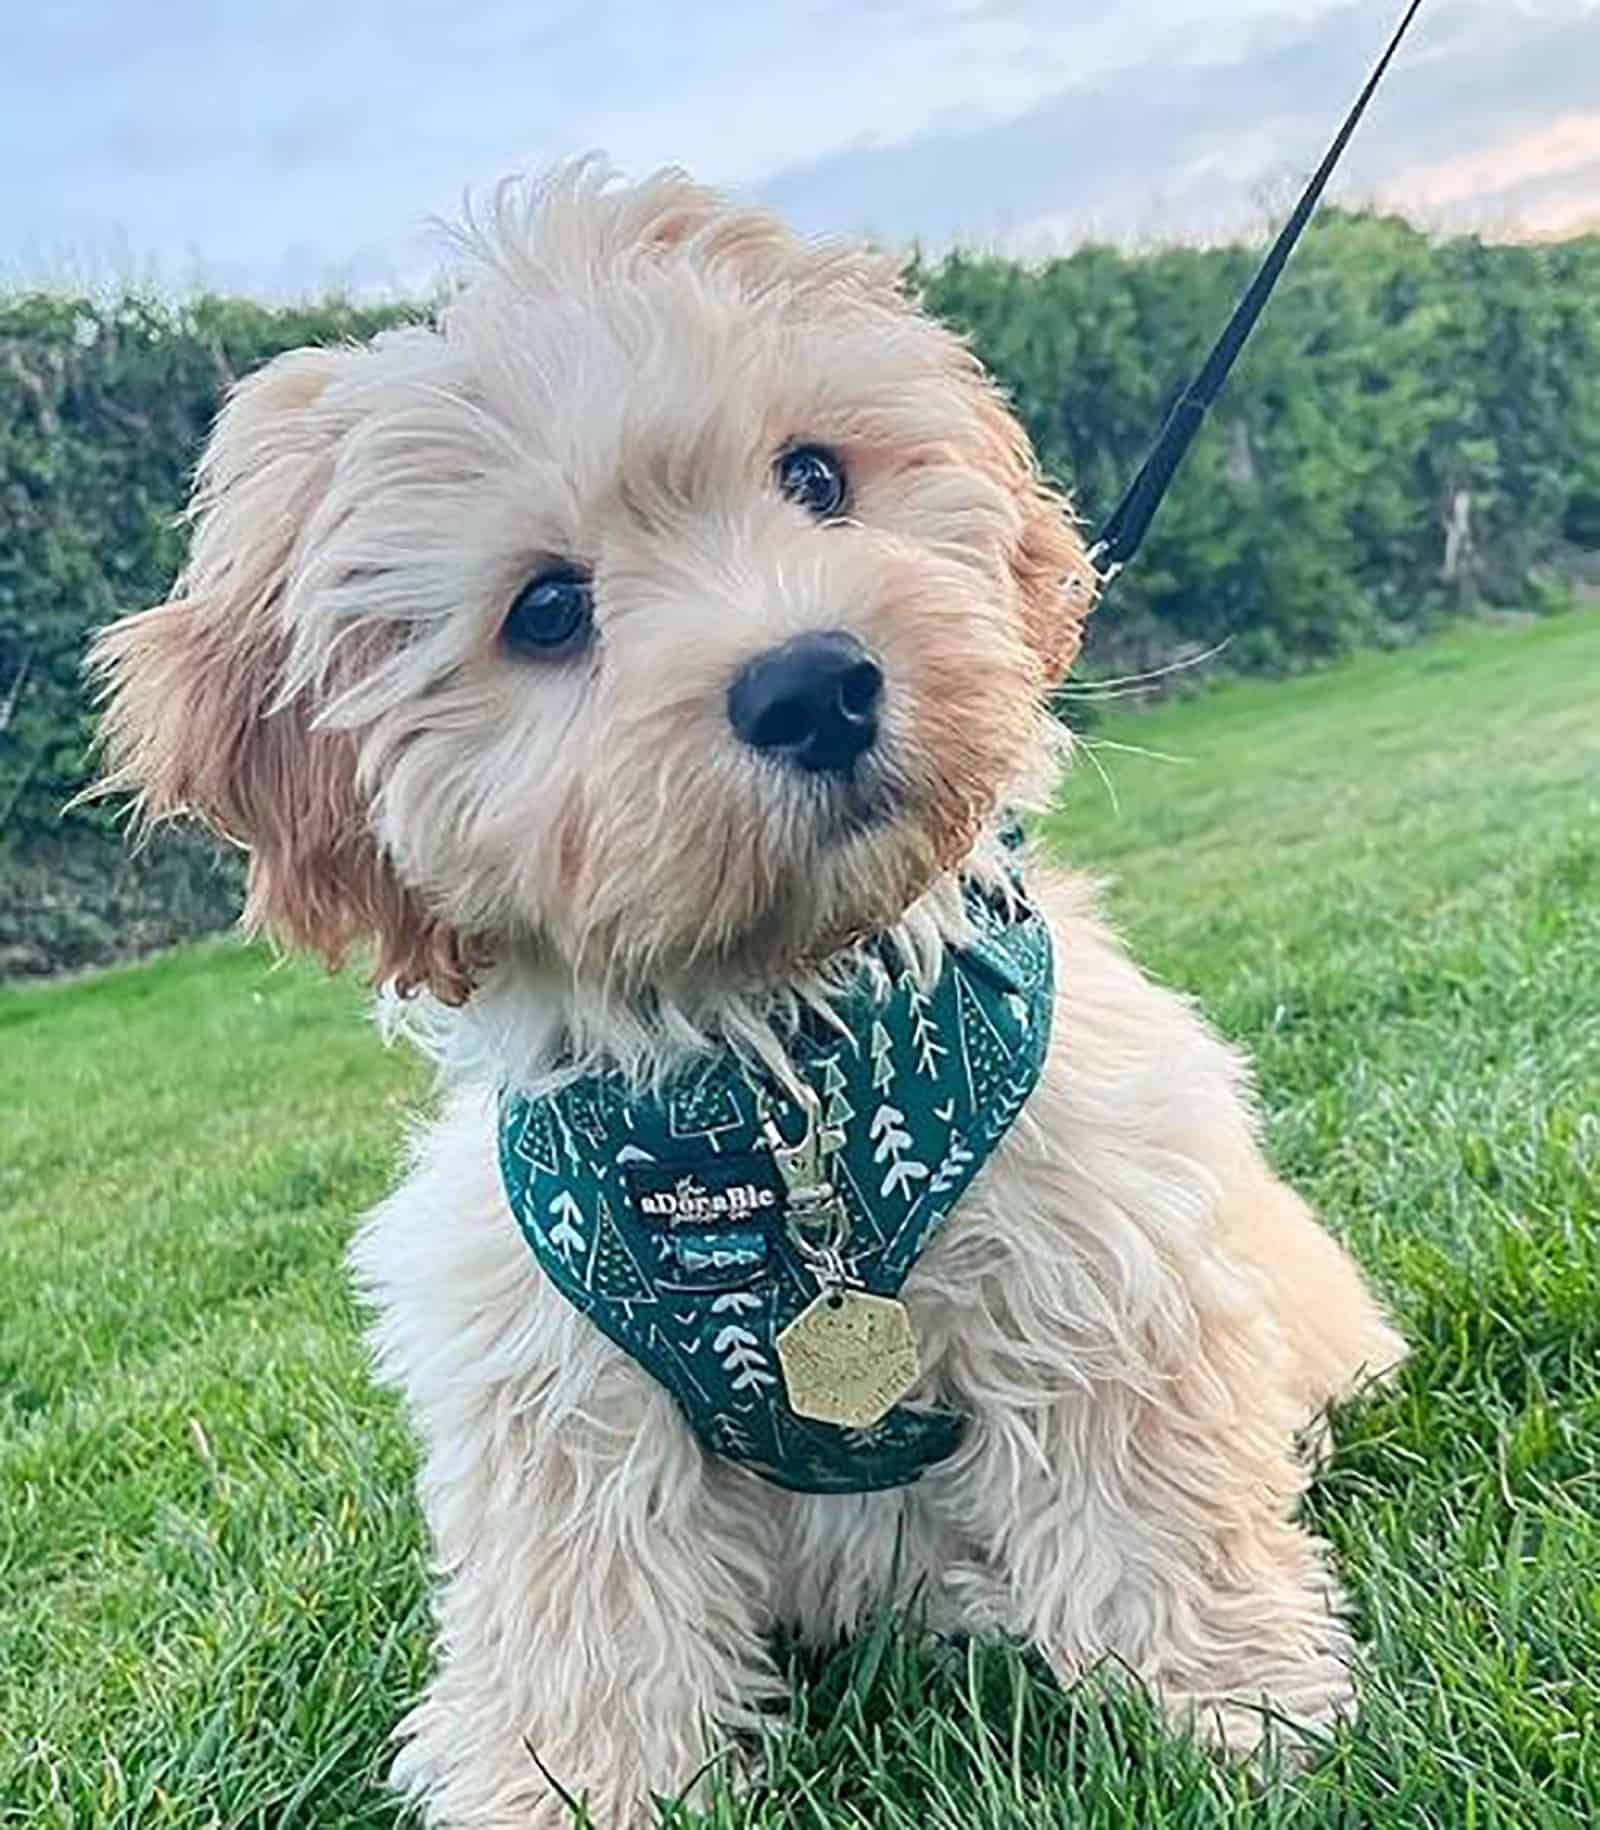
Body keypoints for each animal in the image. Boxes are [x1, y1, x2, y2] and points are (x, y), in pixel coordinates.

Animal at [93, 164, 1405, 1822]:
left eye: (816, 477)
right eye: (544, 610)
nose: (814, 684)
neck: (777, 1080)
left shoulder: (1096, 1248)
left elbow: (1147, 1505)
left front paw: (1250, 1716)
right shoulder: (548, 1380)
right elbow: (578, 1622)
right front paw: (557, 1787)